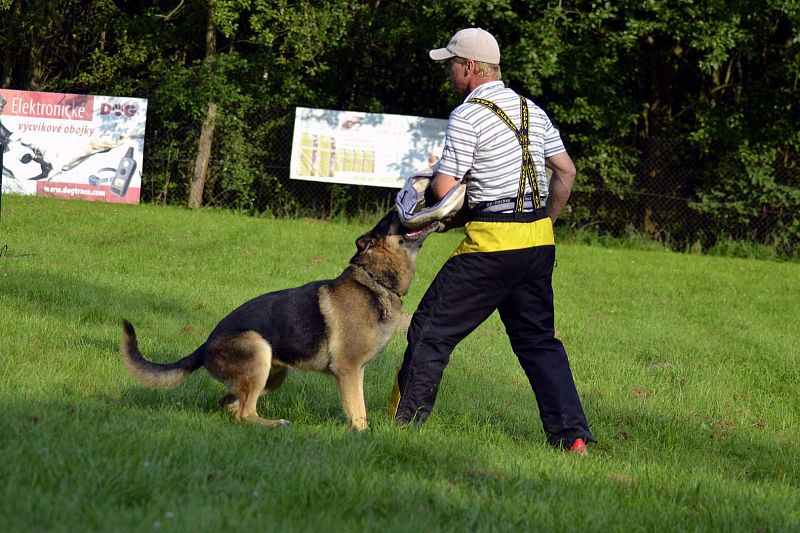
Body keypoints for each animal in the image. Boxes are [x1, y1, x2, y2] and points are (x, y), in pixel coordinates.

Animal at [119, 210, 434, 430]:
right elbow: (358, 413)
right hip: (258, 349)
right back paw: (275, 425)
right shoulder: (348, 370)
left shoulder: (357, 371)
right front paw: (362, 435)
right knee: (245, 413)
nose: (402, 205)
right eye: (391, 221)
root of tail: (205, 345)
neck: (374, 280)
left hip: (274, 373)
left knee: (231, 405)